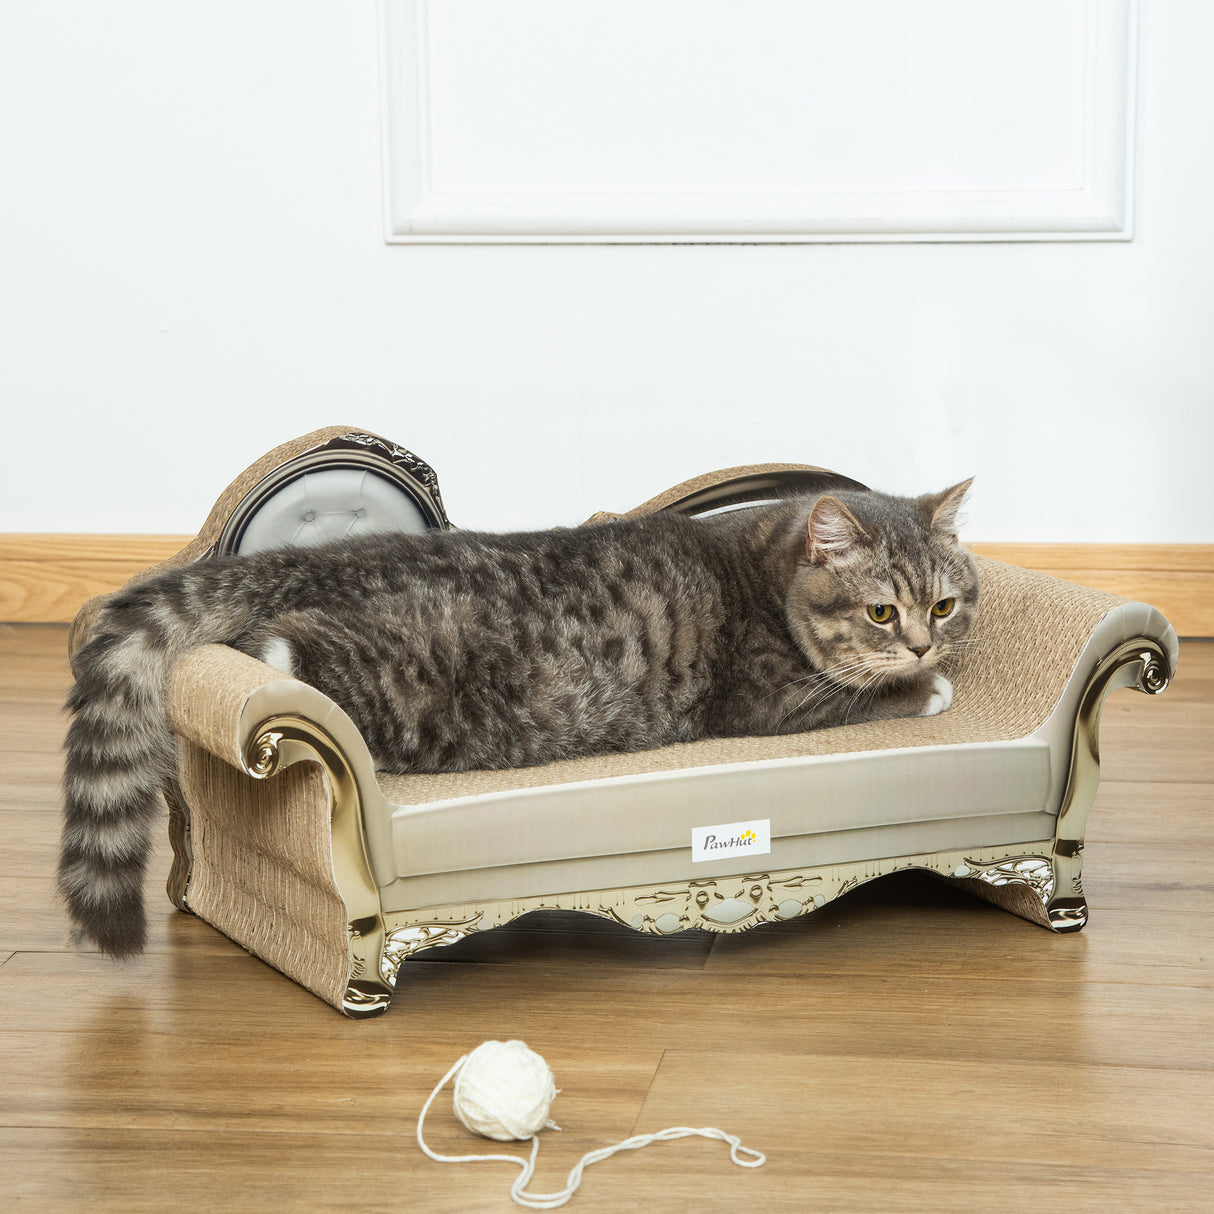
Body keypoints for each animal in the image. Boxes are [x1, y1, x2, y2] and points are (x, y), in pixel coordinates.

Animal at [61, 478, 980, 961]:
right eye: (881, 613)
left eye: (944, 602)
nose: (927, 641)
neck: (766, 570)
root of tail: (326, 560)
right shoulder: (766, 697)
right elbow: (855, 693)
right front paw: (923, 688)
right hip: (401, 683)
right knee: (281, 651)